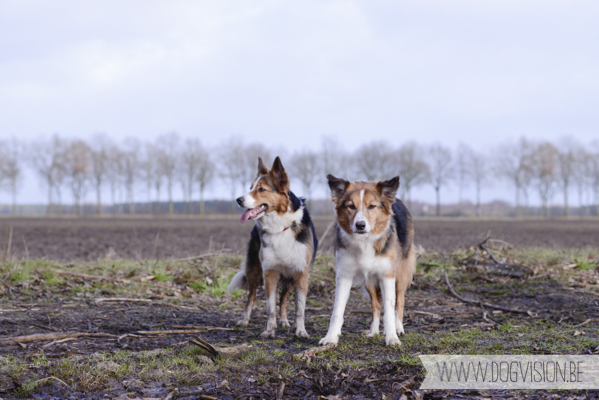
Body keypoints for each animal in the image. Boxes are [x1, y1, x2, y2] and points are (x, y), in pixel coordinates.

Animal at [226, 158, 318, 340]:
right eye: (251, 187)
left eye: (261, 189)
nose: (238, 200)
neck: (280, 227)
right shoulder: (269, 272)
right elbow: (270, 307)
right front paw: (269, 330)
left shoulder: (300, 273)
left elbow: (299, 308)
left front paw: (300, 330)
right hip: (253, 270)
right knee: (251, 296)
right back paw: (244, 319)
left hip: (289, 277)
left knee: (283, 299)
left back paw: (284, 321)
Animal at [318, 175, 418, 346]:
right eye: (351, 206)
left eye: (372, 206)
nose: (360, 225)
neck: (364, 241)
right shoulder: (344, 275)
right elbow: (337, 311)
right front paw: (331, 338)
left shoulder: (387, 275)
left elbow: (389, 309)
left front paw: (392, 338)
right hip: (369, 280)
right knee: (375, 305)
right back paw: (373, 332)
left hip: (400, 273)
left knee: (400, 301)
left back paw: (398, 328)